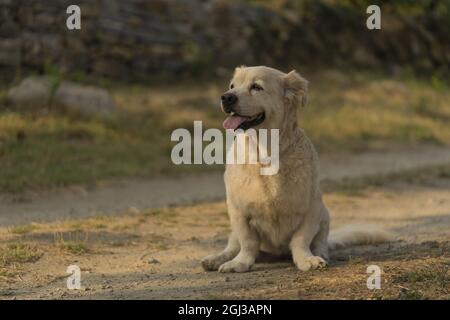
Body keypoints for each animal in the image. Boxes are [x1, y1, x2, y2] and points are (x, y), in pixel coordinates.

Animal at [202, 65, 392, 272]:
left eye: (256, 87)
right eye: (232, 86)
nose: (226, 97)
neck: (265, 155)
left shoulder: (311, 207)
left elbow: (300, 240)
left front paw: (307, 259)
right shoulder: (238, 210)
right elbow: (248, 242)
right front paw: (240, 262)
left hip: (325, 216)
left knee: (321, 242)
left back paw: (320, 253)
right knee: (233, 245)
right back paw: (216, 259)